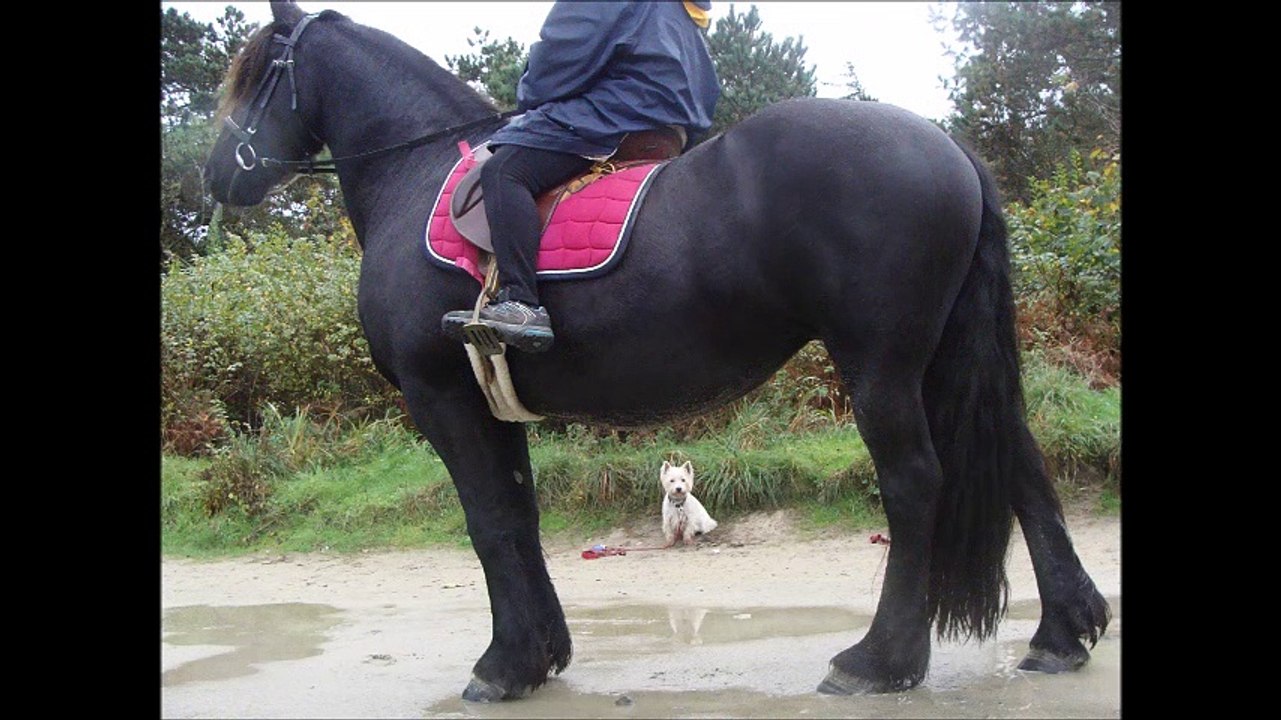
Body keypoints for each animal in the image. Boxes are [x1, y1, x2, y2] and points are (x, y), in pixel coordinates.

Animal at [203, 2, 1111, 702]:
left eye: (255, 76)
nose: (216, 177)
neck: (415, 170)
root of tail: (945, 145)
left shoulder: (441, 398)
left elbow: (488, 524)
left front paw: (503, 666)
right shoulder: (491, 406)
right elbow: (518, 518)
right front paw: (541, 655)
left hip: (881, 364)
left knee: (917, 482)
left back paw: (878, 661)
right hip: (946, 357)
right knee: (1022, 465)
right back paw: (1061, 635)